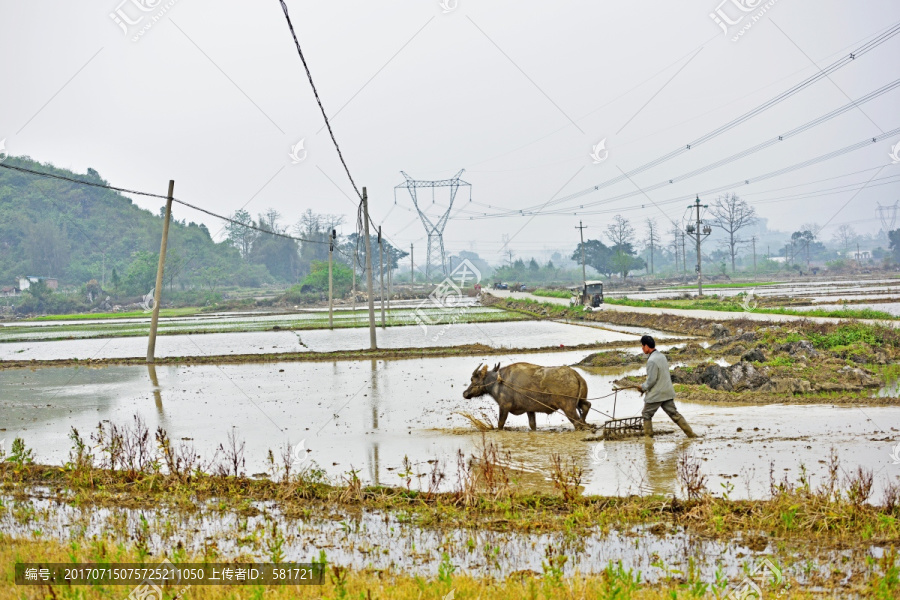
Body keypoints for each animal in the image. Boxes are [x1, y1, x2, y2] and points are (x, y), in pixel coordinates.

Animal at [464, 364, 592, 428]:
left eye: (472, 379)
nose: (465, 393)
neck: (499, 382)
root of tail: (575, 374)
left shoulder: (504, 406)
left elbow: (500, 424)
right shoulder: (530, 410)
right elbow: (532, 425)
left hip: (568, 406)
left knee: (577, 422)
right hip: (580, 400)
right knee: (587, 406)